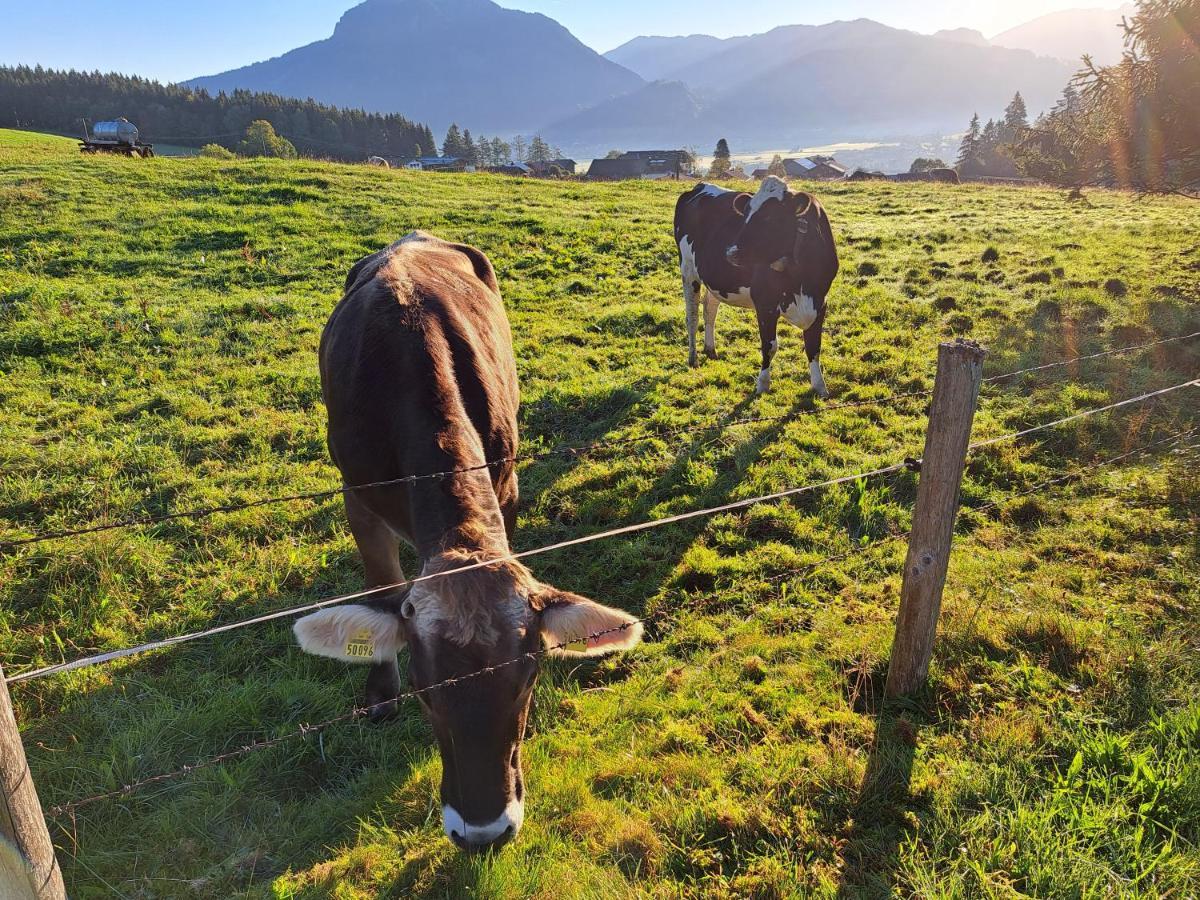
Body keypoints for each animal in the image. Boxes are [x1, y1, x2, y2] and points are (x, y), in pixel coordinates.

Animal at [294, 232, 643, 854]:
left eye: (529, 678)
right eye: (425, 688)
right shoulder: (357, 497)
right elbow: (379, 589)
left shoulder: (506, 485)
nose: (483, 832)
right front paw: (380, 691)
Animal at [672, 177, 840, 396]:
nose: (731, 252)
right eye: (746, 214)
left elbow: (814, 346)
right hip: (688, 269)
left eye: (770, 217)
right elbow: (769, 345)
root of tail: (700, 186)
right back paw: (693, 359)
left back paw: (711, 350)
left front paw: (820, 387)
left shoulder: (820, 303)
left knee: (710, 311)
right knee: (692, 316)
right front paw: (763, 384)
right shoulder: (765, 303)